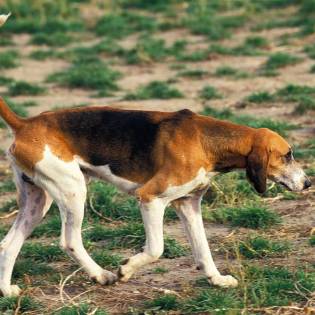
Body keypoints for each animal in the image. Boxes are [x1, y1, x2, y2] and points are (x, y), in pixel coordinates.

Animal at [0, 98, 312, 296]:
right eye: (287, 155)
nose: (308, 183)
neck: (207, 142)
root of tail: (26, 123)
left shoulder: (189, 205)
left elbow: (203, 250)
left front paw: (217, 280)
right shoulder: (150, 198)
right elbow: (155, 249)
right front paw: (126, 270)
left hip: (38, 202)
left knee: (8, 244)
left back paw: (7, 291)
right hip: (73, 190)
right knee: (70, 241)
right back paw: (102, 275)